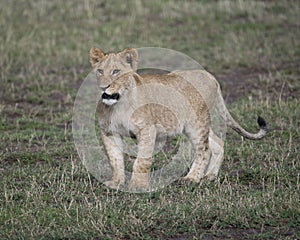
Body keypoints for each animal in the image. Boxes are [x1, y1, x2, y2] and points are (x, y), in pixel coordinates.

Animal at [89, 47, 268, 190]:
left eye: (116, 71)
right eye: (100, 71)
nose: (104, 87)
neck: (117, 105)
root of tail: (210, 76)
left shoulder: (147, 130)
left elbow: (141, 161)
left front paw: (138, 186)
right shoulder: (109, 132)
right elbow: (115, 159)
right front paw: (116, 182)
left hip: (196, 124)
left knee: (205, 150)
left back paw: (192, 178)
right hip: (201, 124)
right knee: (218, 143)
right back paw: (209, 176)